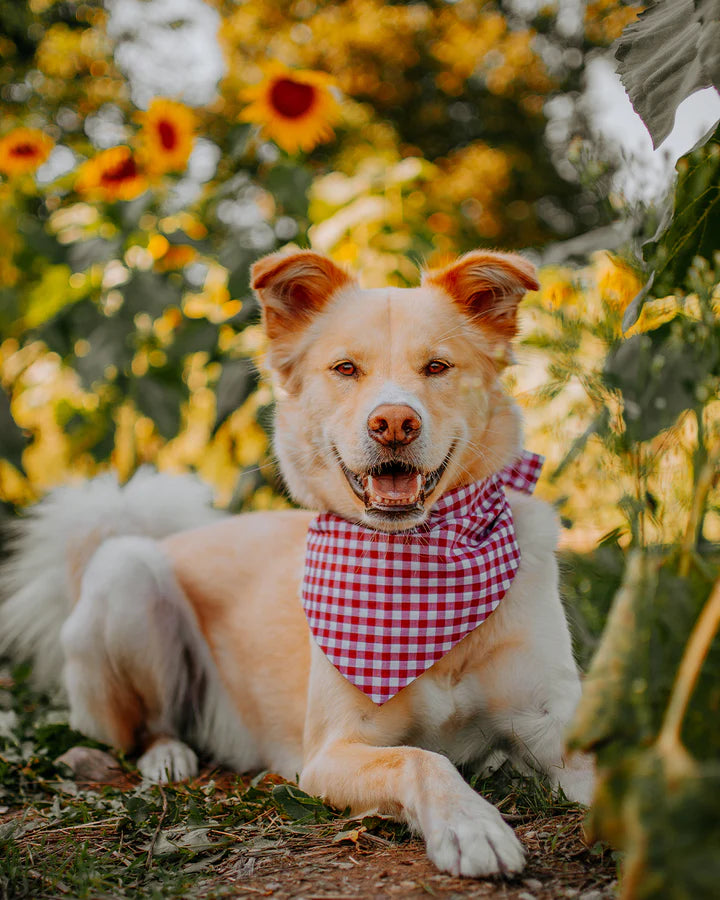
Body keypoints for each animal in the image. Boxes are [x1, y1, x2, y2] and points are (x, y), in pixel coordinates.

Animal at [1, 248, 592, 880]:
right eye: (345, 369)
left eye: (437, 366)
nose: (394, 423)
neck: (420, 567)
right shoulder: (331, 752)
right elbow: (418, 759)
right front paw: (471, 824)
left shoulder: (553, 723)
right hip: (128, 573)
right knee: (142, 729)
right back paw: (169, 757)